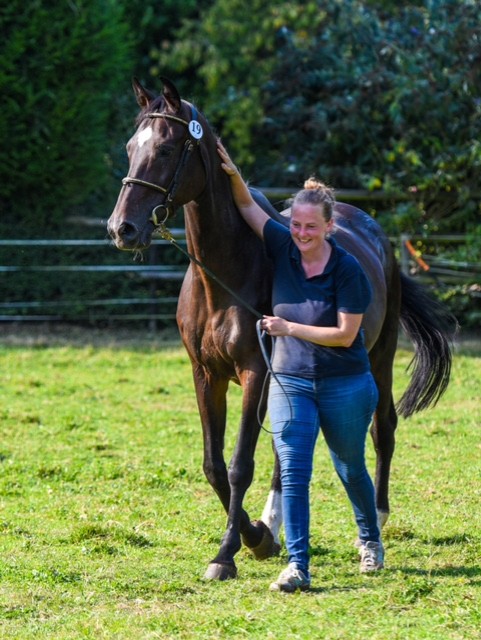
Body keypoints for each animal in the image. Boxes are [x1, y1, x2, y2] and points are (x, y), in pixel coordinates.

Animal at [107, 76, 456, 580]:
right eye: (131, 147)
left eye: (168, 148)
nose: (122, 228)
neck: (225, 273)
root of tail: (373, 231)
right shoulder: (205, 375)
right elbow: (214, 465)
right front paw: (259, 536)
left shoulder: (255, 370)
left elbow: (239, 465)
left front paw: (229, 552)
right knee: (289, 442)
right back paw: (276, 521)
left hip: (381, 355)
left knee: (382, 427)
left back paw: (376, 521)